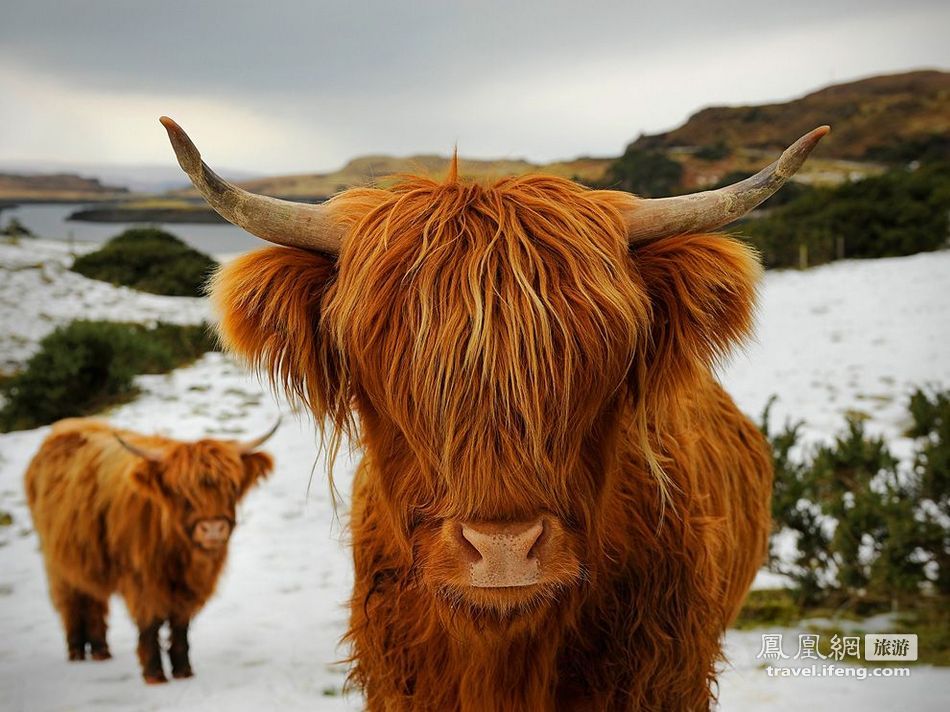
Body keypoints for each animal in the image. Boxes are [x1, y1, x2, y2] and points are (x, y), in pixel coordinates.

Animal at [25, 418, 276, 684]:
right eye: (179, 491)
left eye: (232, 486)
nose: (213, 529)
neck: (178, 554)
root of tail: (62, 429)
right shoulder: (141, 582)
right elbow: (150, 624)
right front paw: (154, 674)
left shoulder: (188, 589)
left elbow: (180, 626)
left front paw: (183, 671)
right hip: (57, 562)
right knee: (71, 601)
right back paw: (76, 652)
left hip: (87, 559)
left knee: (94, 601)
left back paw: (101, 651)